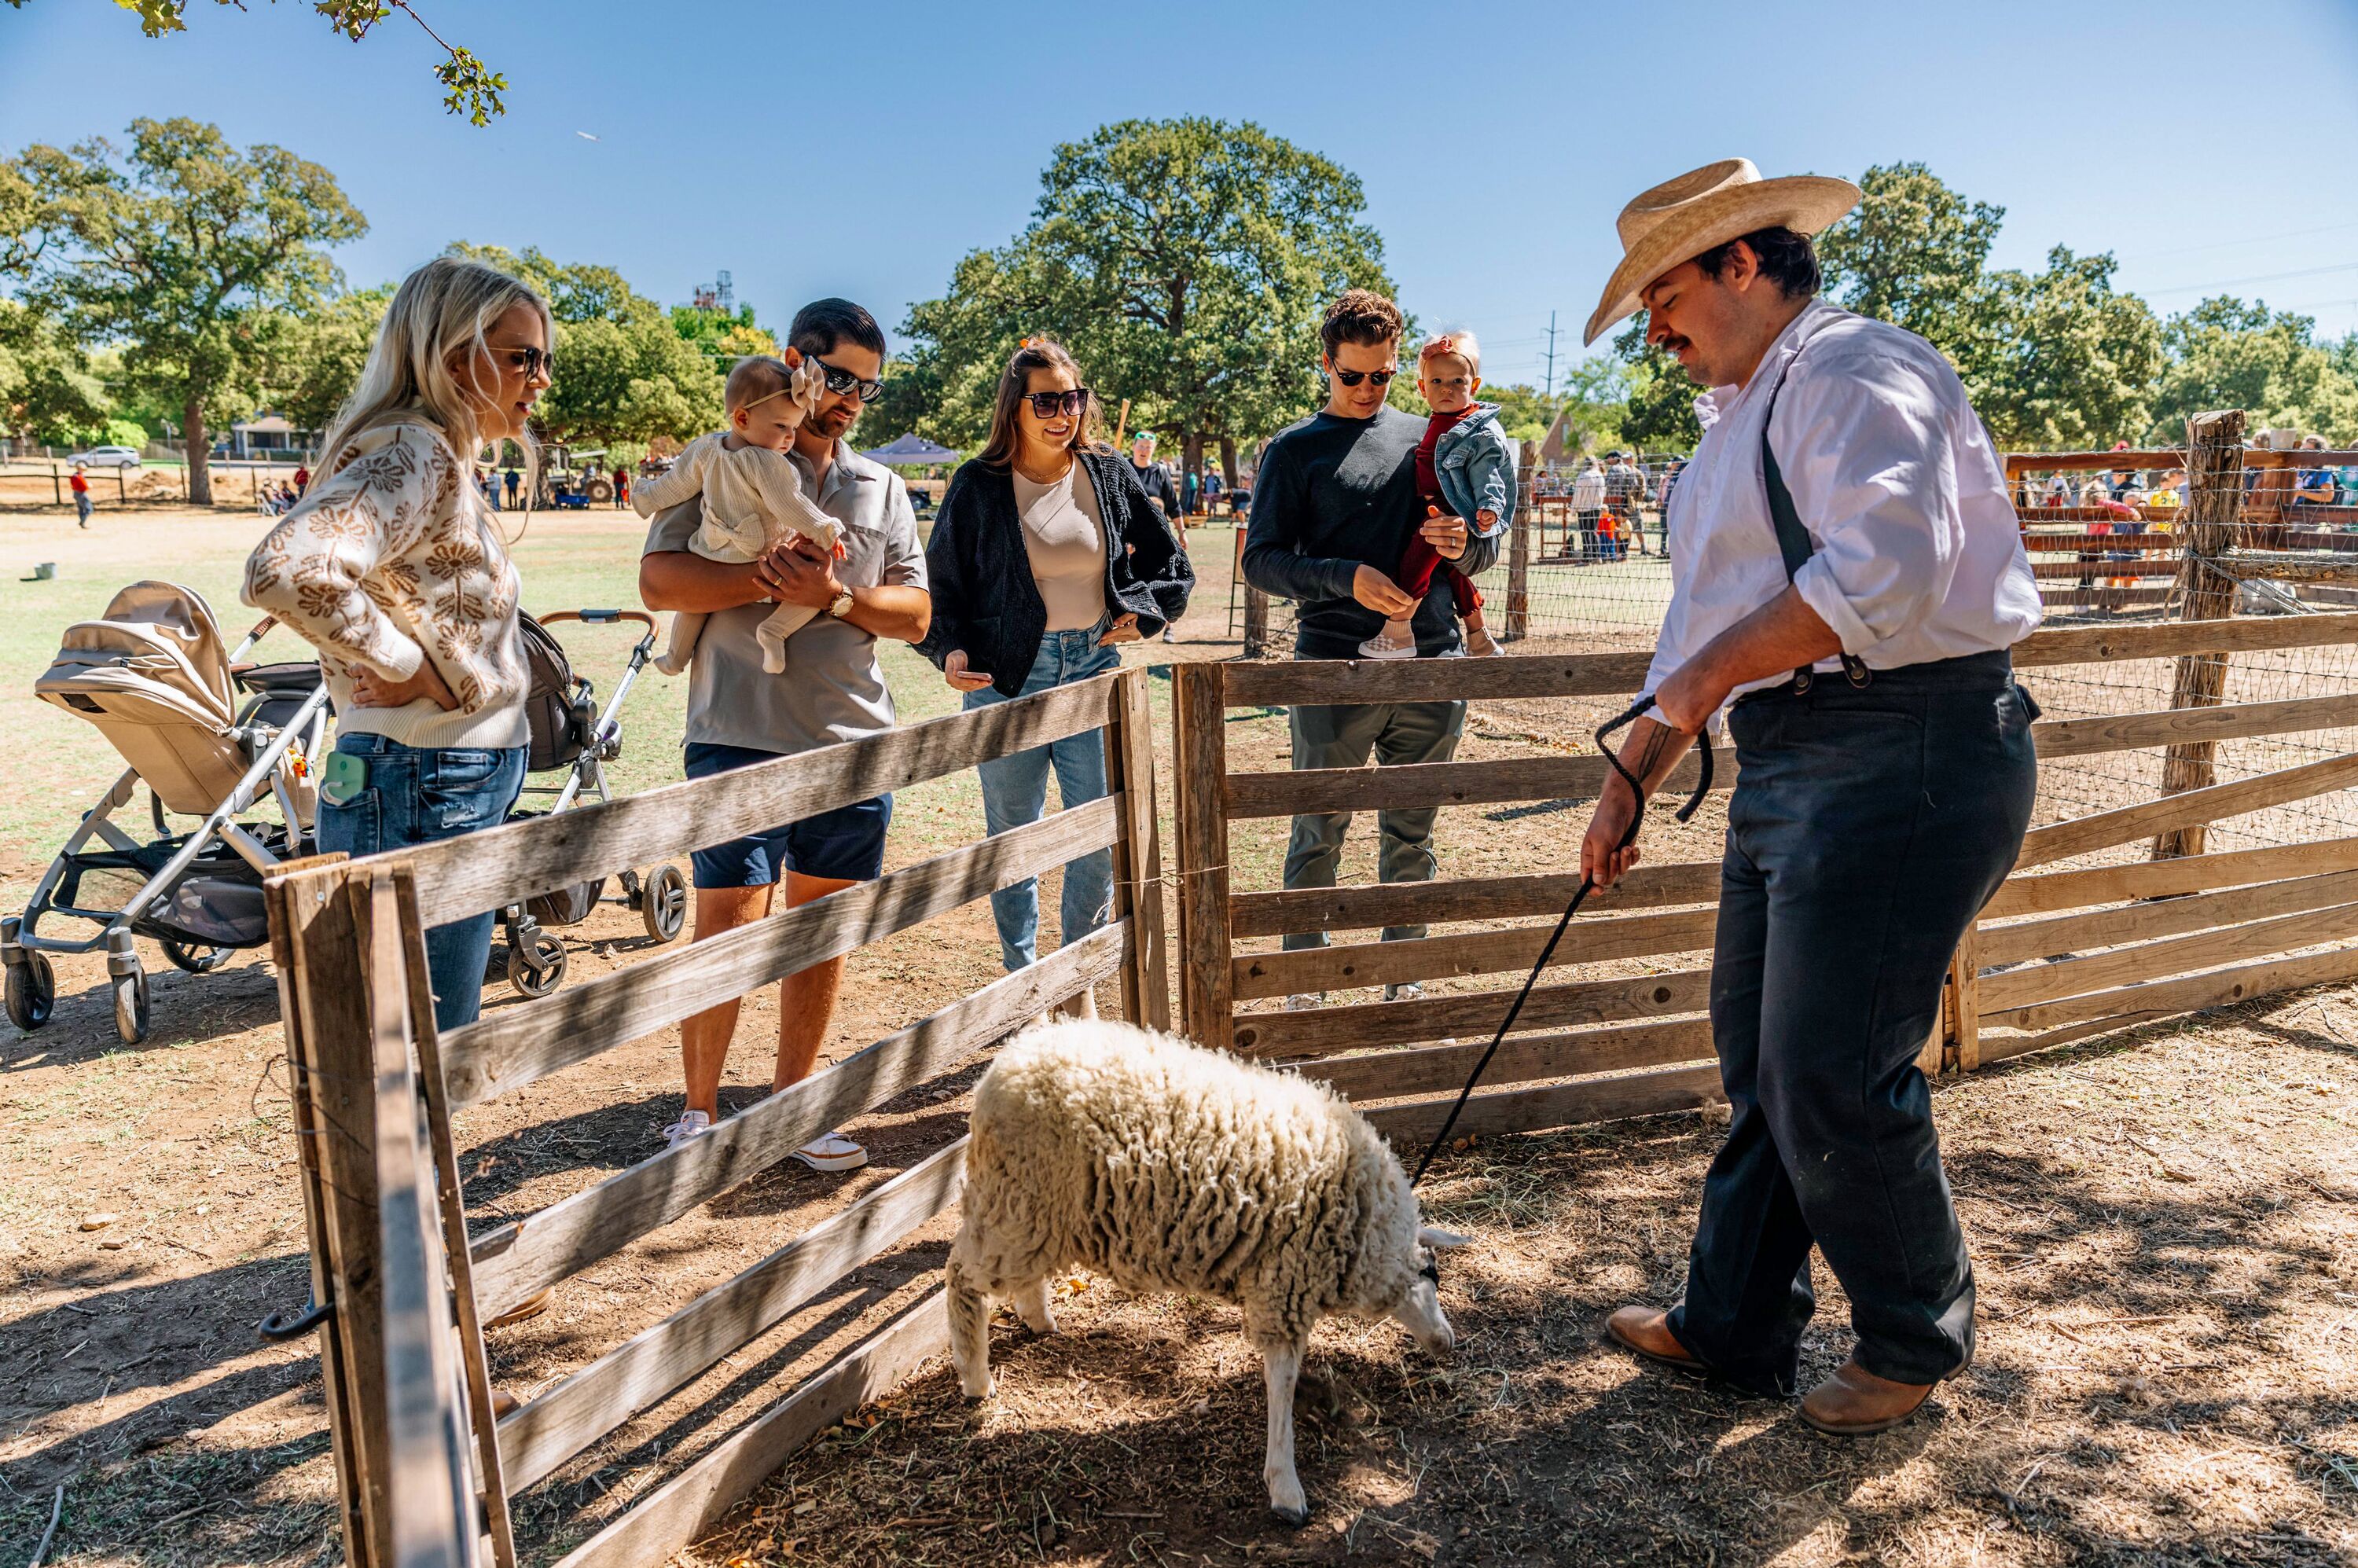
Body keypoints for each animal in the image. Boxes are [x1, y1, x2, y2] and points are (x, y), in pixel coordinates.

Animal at [934, 1014, 1453, 1518]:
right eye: (1432, 1272)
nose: (1446, 1343)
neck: (1364, 1229)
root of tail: (1005, 1064)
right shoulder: (1282, 1286)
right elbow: (1281, 1382)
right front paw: (1285, 1485)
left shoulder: (1283, 1288)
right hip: (1017, 1200)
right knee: (959, 1275)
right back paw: (976, 1378)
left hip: (1035, 1214)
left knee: (1015, 1276)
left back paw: (1039, 1319)